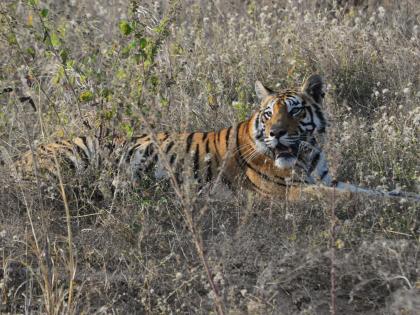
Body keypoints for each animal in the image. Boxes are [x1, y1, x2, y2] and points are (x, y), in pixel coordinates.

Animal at [6, 75, 332, 201]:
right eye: (268, 114)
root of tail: (18, 159)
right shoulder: (282, 191)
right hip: (73, 157)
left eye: (295, 111)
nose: (276, 133)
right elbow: (332, 196)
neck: (308, 154)